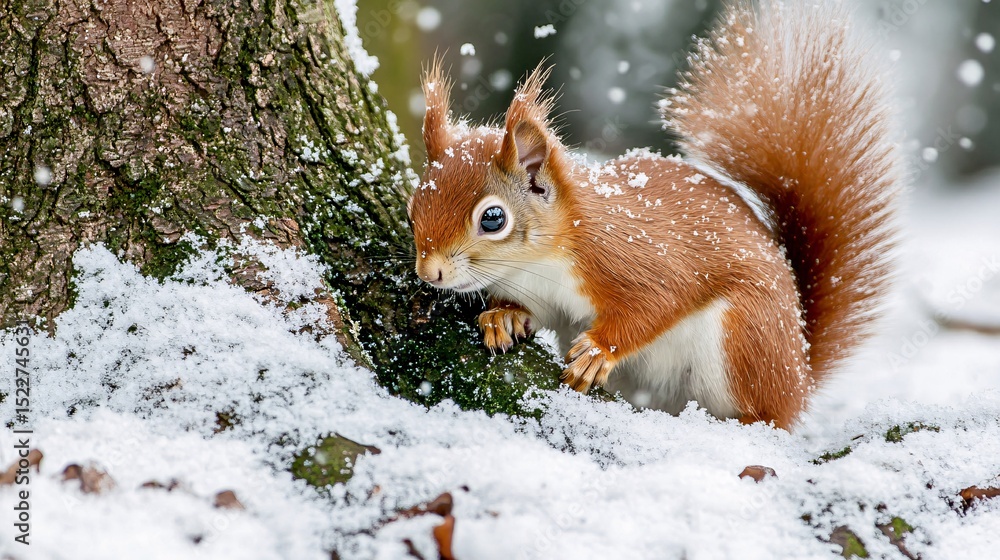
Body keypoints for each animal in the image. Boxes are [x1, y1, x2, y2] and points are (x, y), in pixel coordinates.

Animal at [407, 0, 901, 429]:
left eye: (493, 219)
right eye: (413, 208)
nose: (429, 272)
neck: (540, 262)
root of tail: (799, 374)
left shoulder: (629, 257)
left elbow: (657, 301)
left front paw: (598, 350)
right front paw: (503, 316)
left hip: (744, 338)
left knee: (768, 415)